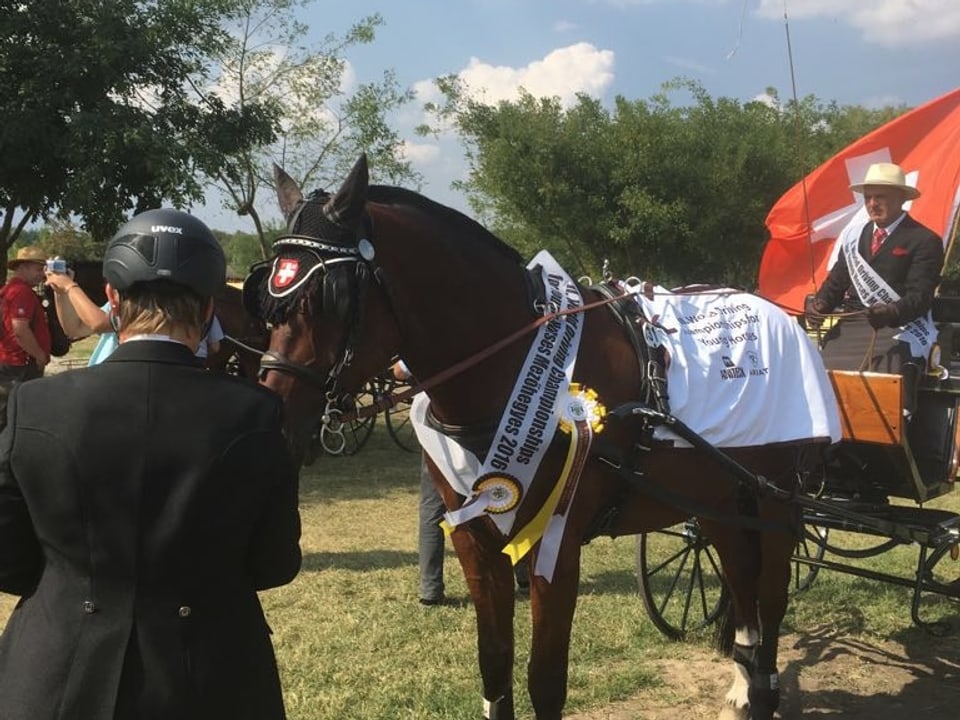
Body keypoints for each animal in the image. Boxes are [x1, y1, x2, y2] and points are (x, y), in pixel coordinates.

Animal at [246, 156, 832, 720]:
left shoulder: (558, 542)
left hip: (774, 500)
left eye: (332, 298)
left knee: (770, 597)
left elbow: (544, 681)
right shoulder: (476, 542)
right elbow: (495, 665)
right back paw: (743, 686)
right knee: (742, 585)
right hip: (719, 501)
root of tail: (785, 319)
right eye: (270, 301)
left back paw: (764, 692)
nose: (274, 425)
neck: (519, 370)